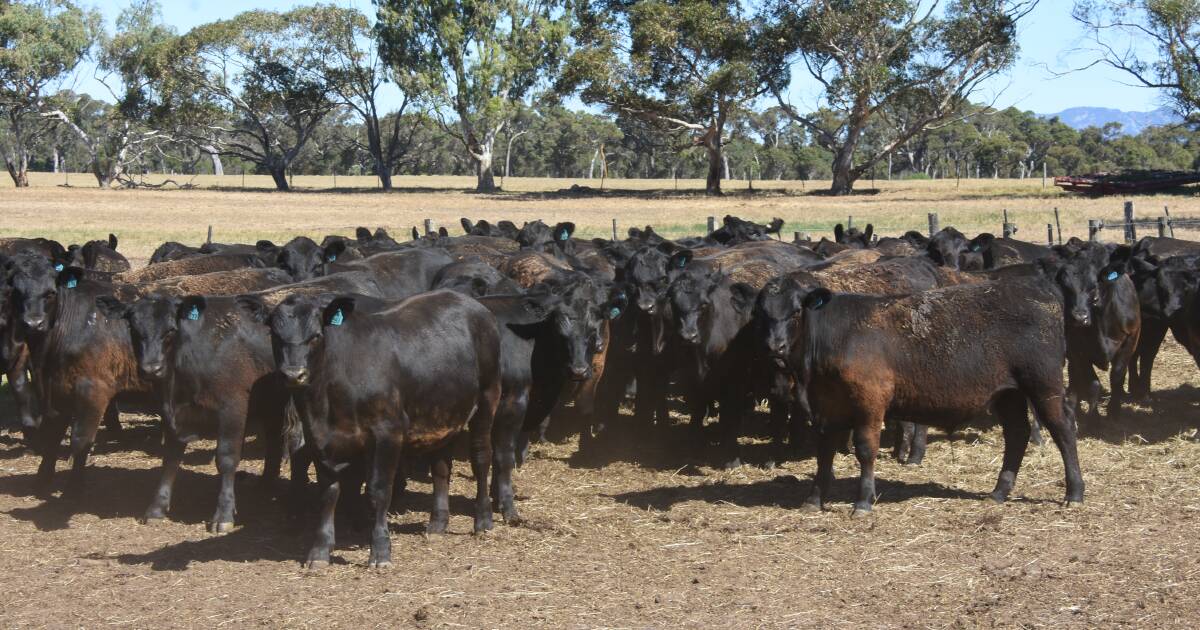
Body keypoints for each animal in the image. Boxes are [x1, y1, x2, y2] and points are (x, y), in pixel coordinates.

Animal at [267, 292, 501, 566]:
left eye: (315, 335)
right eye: (275, 335)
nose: (294, 375)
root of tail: (472, 303)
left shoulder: (387, 433)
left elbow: (378, 491)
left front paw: (380, 551)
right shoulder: (319, 438)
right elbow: (329, 493)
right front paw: (320, 551)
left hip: (487, 398)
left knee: (481, 457)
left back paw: (483, 520)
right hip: (444, 412)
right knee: (441, 466)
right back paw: (437, 524)